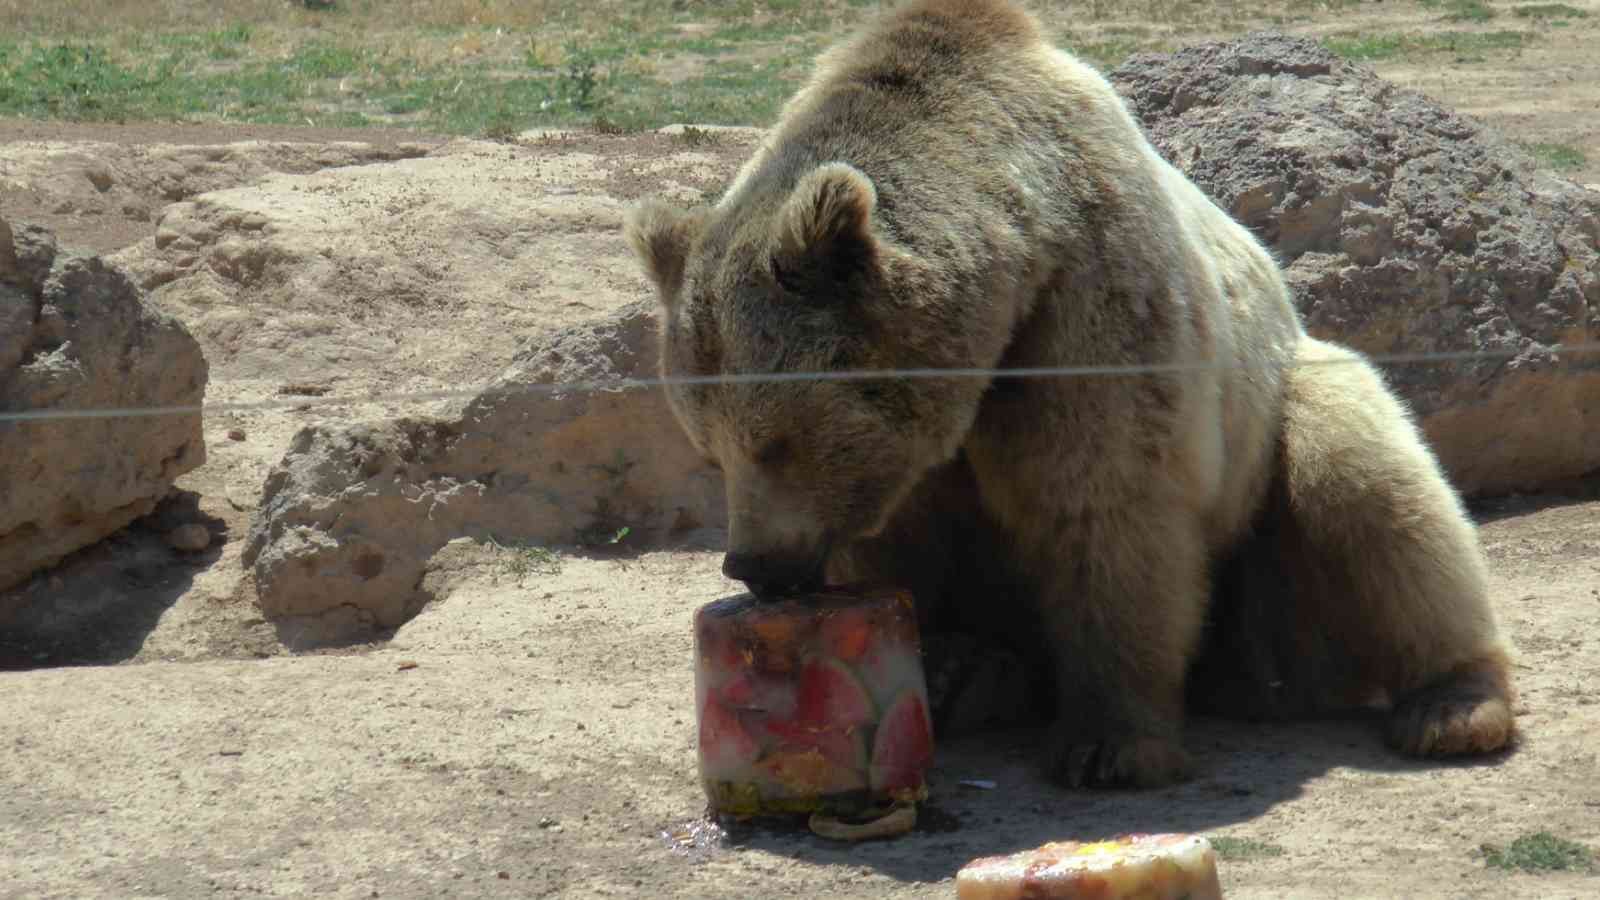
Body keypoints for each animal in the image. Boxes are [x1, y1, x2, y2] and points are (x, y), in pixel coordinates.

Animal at [617, 0, 1516, 784]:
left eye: (775, 441)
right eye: (707, 448)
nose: (755, 565)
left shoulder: (1085, 303)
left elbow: (1102, 504)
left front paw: (1108, 745)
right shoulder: (909, 462)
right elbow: (899, 547)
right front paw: (922, 663)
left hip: (1279, 448)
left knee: (1372, 488)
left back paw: (1453, 705)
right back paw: (976, 673)